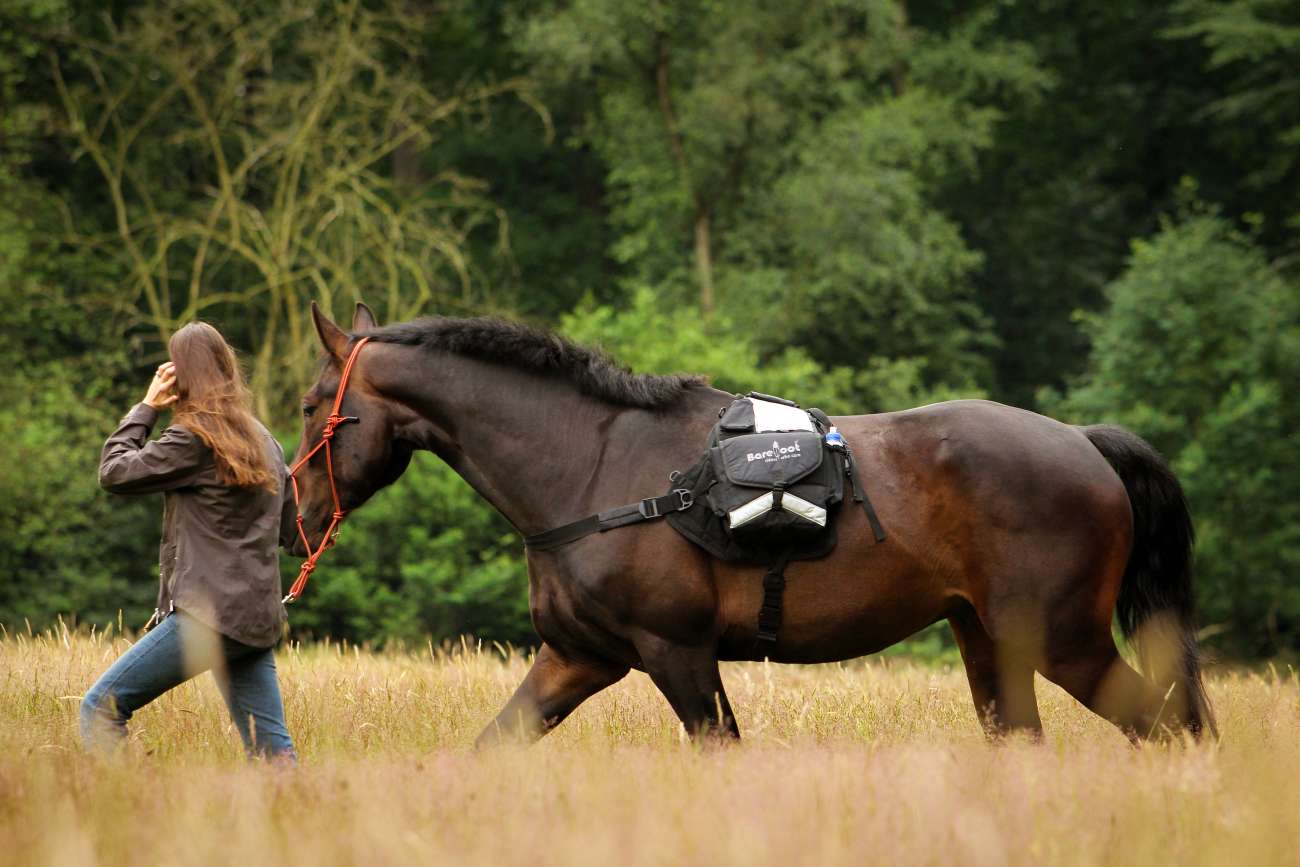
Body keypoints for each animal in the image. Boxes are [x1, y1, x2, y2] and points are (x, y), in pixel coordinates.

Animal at [289, 301, 1211, 743]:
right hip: (992, 641)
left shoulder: (677, 652)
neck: (592, 463)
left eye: (308, 405)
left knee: (1167, 727)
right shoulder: (578, 657)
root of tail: (1084, 441)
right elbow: (493, 743)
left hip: (1065, 641)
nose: (294, 516)